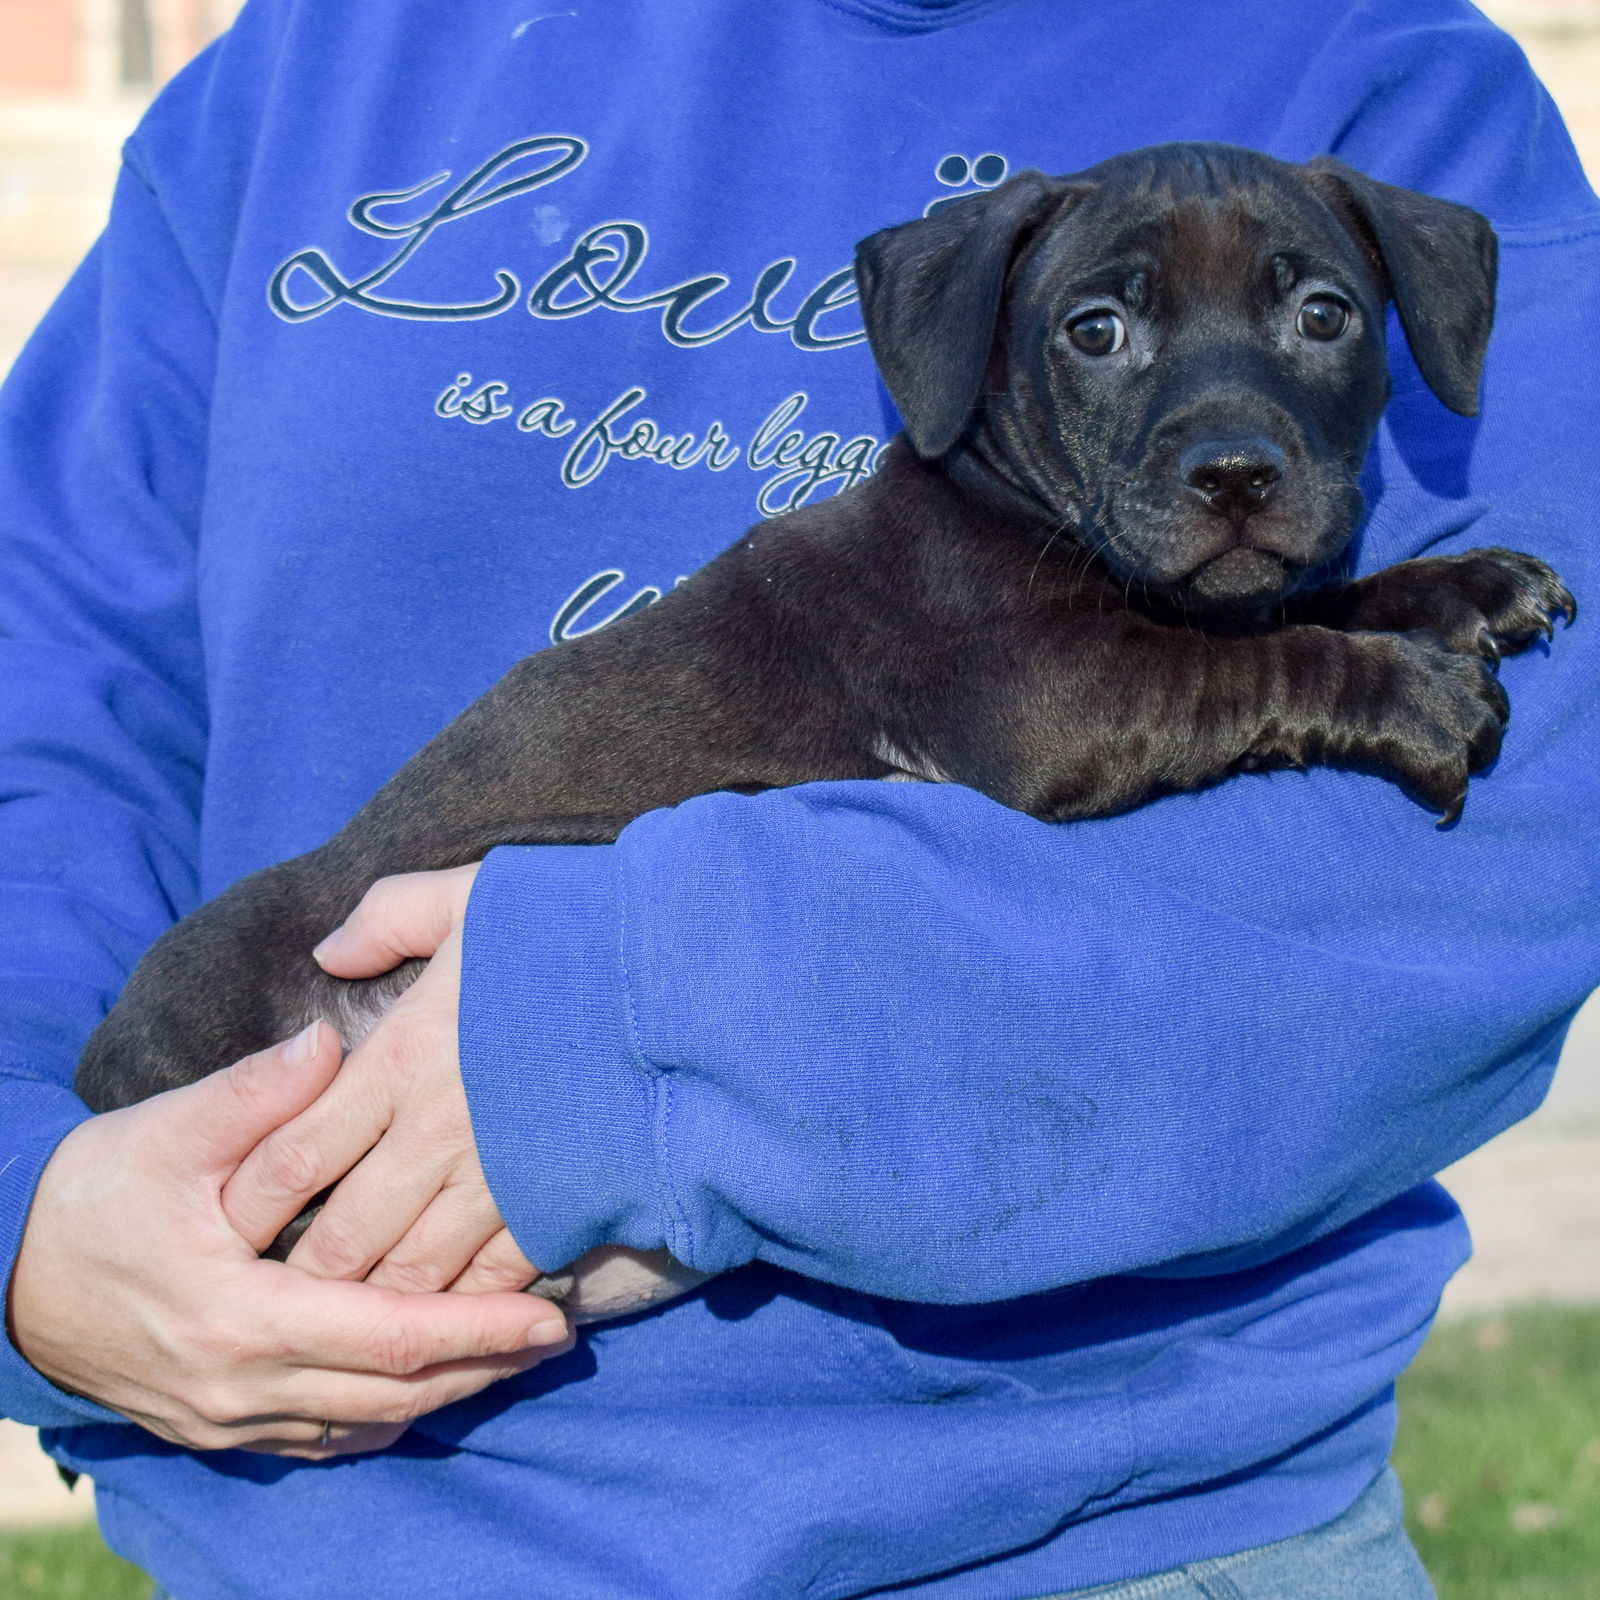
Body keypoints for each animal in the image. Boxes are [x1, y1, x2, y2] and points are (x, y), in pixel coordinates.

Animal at [78, 147, 1574, 1324]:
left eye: (1325, 315)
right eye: (1094, 331)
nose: (1236, 475)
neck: (1004, 493)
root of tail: (100, 1074)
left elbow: (1297, 598)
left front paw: (1464, 587)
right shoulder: (1063, 695)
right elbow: (1260, 655)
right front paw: (1417, 693)